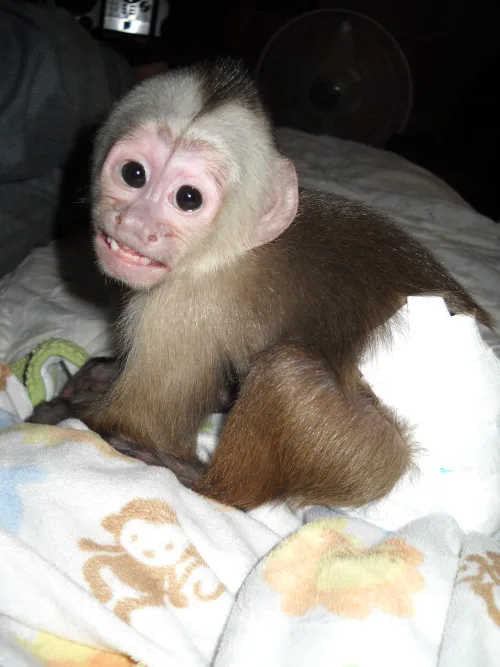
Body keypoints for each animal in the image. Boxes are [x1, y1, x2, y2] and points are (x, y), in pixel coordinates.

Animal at [29, 59, 493, 511]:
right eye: (133, 173)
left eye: (188, 198)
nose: (136, 224)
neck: (227, 250)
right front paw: (98, 372)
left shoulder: (181, 311)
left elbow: (137, 421)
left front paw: (54, 414)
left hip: (368, 454)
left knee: (287, 373)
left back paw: (199, 479)